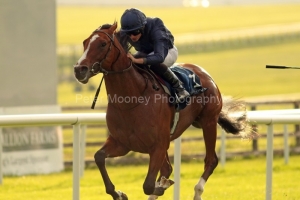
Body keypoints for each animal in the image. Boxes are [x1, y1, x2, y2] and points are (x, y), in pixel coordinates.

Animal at [74, 22, 252, 199]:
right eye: (84, 43)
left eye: (103, 44)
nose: (79, 69)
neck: (131, 101)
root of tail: (204, 74)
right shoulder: (122, 143)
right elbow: (99, 157)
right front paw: (119, 193)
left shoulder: (158, 146)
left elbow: (148, 185)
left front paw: (161, 186)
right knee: (168, 168)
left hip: (208, 122)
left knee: (211, 160)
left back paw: (197, 191)